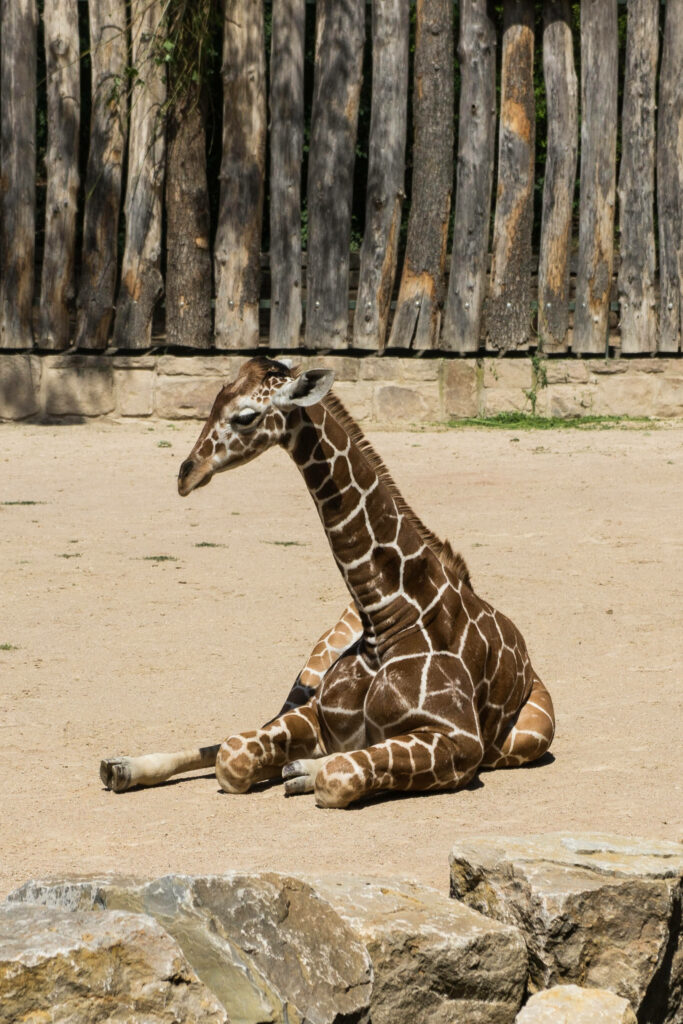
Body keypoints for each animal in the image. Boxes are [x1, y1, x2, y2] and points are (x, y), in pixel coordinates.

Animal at [100, 356, 555, 807]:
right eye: (213, 402)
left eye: (245, 416)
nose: (186, 474)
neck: (386, 614)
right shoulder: (316, 713)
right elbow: (233, 755)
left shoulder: (461, 740)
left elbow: (339, 774)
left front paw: (304, 772)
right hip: (310, 671)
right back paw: (121, 767)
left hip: (533, 734)